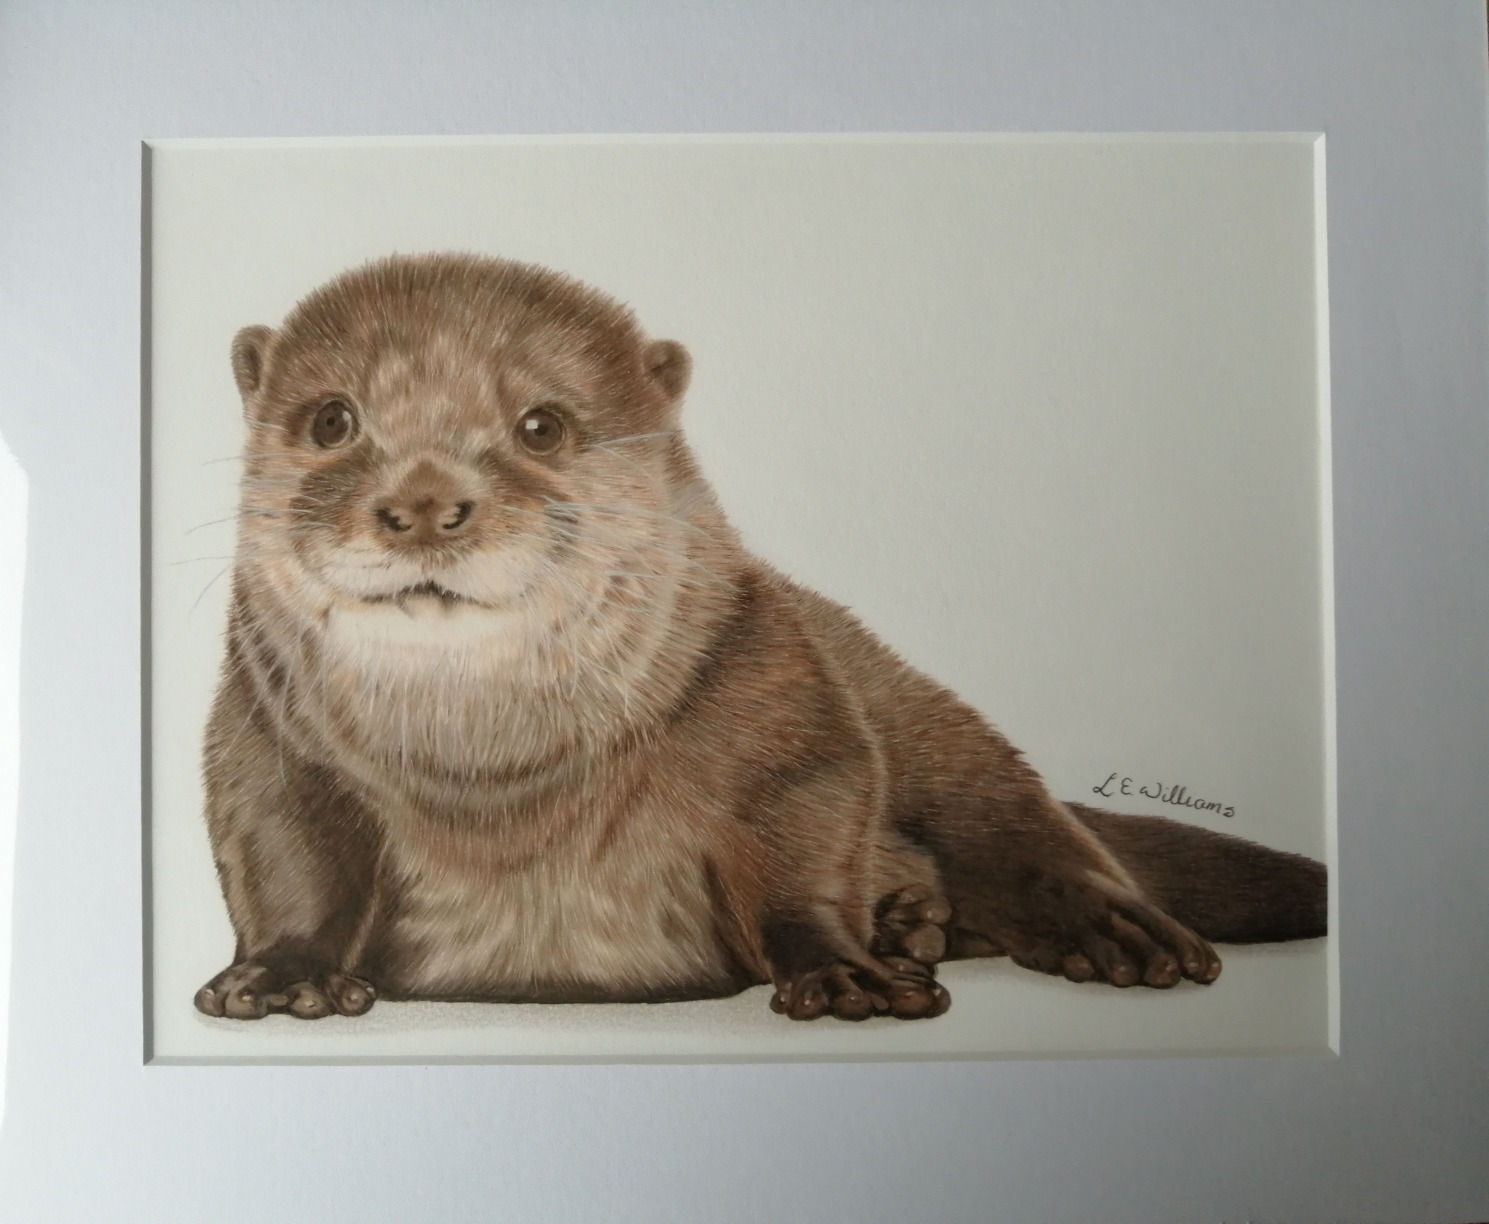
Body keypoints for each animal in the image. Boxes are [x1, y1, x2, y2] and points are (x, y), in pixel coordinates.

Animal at [194, 252, 1326, 1023]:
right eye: (332, 419)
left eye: (542, 426)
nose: (425, 505)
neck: (495, 785)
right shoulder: (267, 745)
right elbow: (284, 859)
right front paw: (282, 974)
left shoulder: (780, 686)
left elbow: (807, 832)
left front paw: (843, 971)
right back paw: (918, 921)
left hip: (927, 719)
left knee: (1023, 822)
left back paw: (1101, 934)